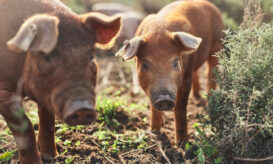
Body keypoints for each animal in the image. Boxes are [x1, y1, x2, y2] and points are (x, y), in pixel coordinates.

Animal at [0, 0, 120, 163]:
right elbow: (25, 128)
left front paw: (52, 156)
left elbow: (48, 120)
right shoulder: (4, 91)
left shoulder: (47, 96)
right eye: (46, 57)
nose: (82, 108)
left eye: (91, 57)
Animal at [115, 0, 223, 144]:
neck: (159, 29)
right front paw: (154, 132)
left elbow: (180, 107)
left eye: (175, 63)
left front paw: (182, 143)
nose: (164, 98)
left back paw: (209, 101)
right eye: (145, 64)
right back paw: (196, 97)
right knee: (197, 72)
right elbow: (152, 107)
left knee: (210, 73)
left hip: (217, 43)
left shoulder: (185, 78)